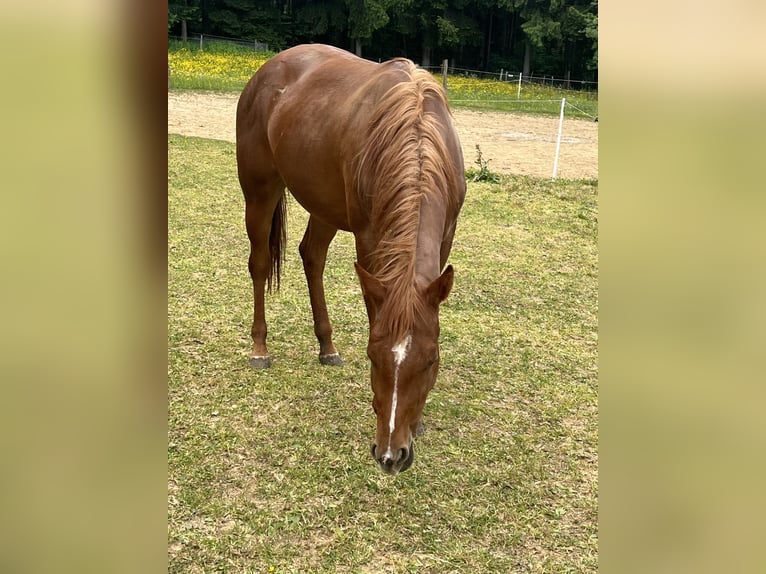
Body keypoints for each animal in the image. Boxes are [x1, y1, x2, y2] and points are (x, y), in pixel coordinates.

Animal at [236, 44, 466, 475]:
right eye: (373, 357)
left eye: (431, 361)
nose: (391, 456)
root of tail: (268, 69)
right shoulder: (368, 237)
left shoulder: (445, 237)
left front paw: (419, 422)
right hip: (260, 191)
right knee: (258, 263)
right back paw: (260, 348)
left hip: (324, 205)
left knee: (312, 256)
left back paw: (327, 345)